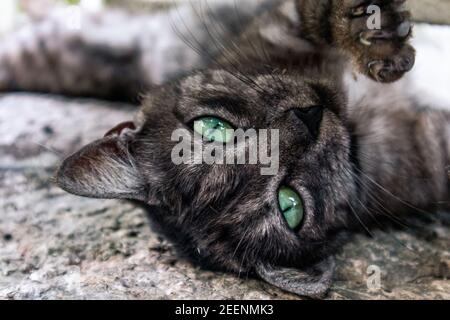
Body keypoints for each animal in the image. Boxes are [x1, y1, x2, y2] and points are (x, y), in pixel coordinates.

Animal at [1, 0, 448, 300]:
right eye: (289, 205)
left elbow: (311, 18)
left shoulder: (271, 36)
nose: (309, 116)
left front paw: (369, 30)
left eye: (213, 128)